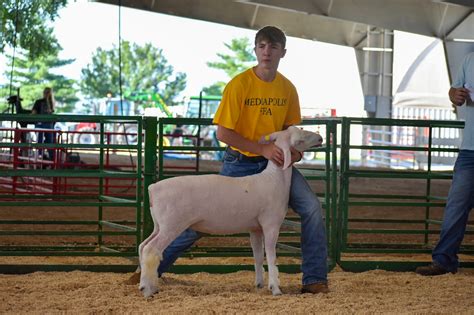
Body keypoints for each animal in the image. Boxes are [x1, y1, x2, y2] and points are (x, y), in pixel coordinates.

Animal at [137, 126, 322, 298]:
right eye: (300, 139)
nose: (320, 138)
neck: (274, 179)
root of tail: (153, 188)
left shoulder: (255, 228)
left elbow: (258, 256)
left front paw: (259, 284)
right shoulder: (271, 224)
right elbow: (271, 256)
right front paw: (275, 288)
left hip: (159, 225)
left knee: (143, 246)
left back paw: (145, 284)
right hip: (172, 224)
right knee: (151, 250)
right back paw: (148, 290)